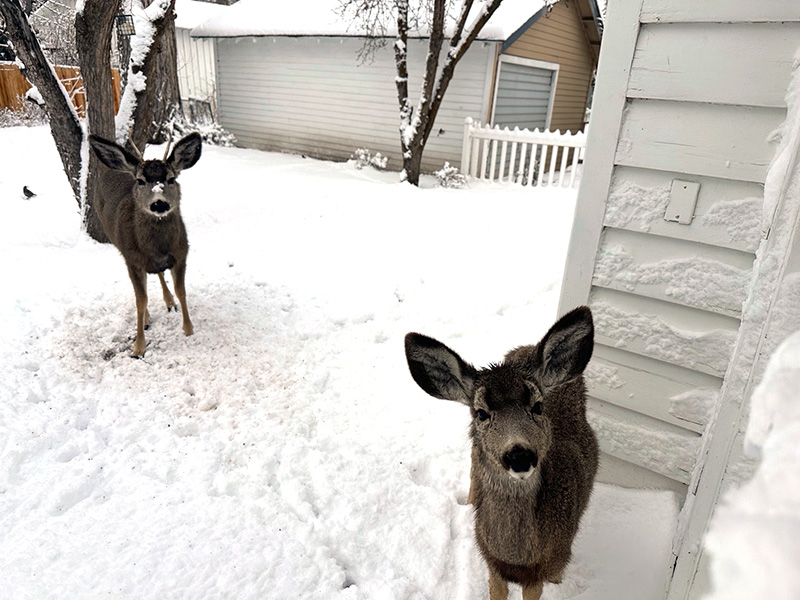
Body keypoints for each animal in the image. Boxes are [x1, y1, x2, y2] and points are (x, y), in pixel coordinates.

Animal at [88, 131, 203, 357]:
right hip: (119, 245)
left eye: (171, 179)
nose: (159, 203)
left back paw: (169, 303)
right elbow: (140, 300)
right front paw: (138, 347)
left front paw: (188, 328)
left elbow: (181, 291)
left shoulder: (181, 254)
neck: (159, 248)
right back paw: (148, 319)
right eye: (140, 181)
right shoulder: (132, 260)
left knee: (158, 274)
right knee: (141, 293)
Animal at [404, 306, 599, 600]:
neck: (516, 557)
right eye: (481, 413)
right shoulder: (492, 564)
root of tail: (527, 346)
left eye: (538, 406)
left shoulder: (542, 570)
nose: (520, 455)